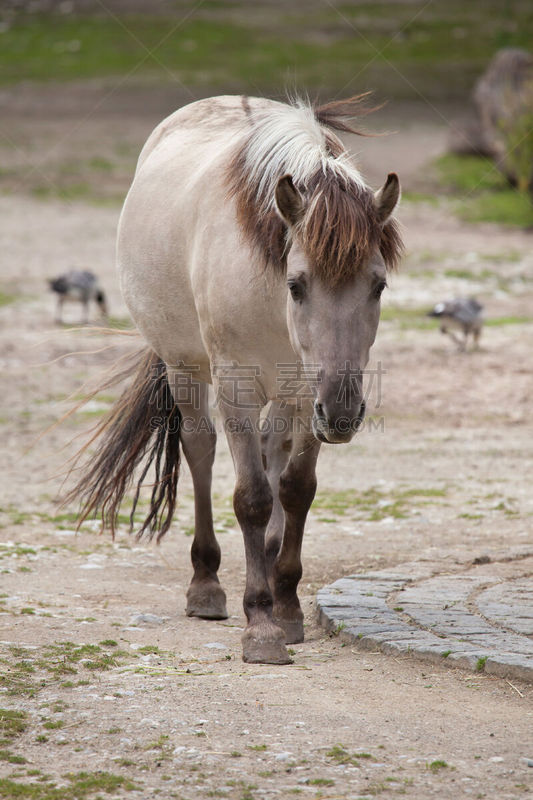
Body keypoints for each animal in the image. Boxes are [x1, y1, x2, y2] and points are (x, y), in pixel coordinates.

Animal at [65, 95, 400, 664]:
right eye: (297, 284)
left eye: (377, 285)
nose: (342, 412)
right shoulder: (237, 389)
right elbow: (252, 498)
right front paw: (261, 625)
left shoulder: (308, 395)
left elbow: (296, 489)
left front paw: (286, 606)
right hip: (186, 368)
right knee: (200, 451)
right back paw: (206, 584)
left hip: (288, 398)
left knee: (272, 453)